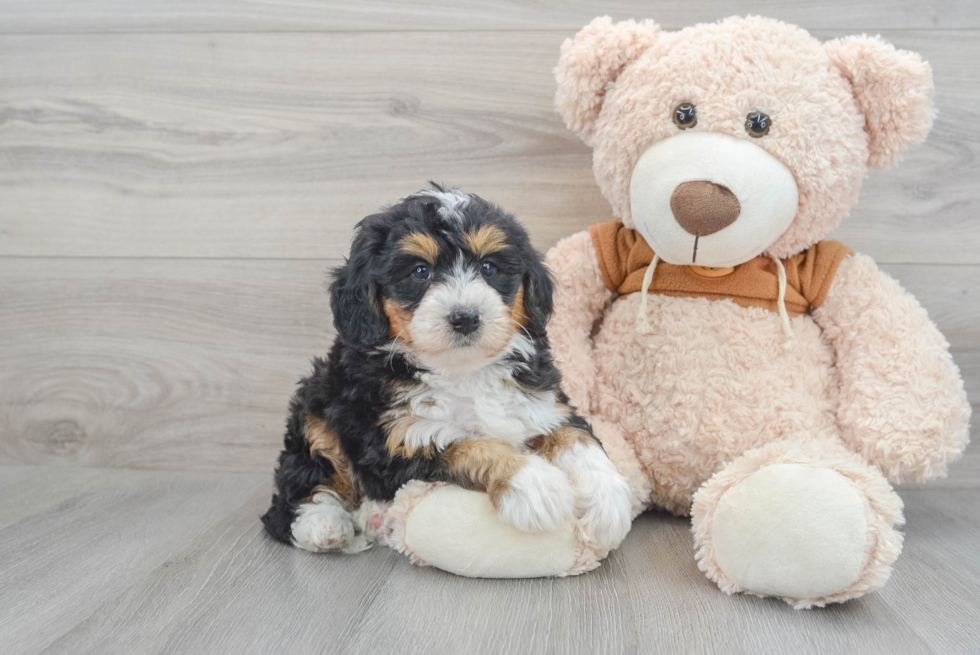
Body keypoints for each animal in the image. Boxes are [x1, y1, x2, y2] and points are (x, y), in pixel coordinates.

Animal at [260, 187, 632, 556]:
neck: (463, 370)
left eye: (488, 267)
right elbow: (470, 445)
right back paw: (323, 525)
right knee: (302, 482)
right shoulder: (397, 441)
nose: (465, 317)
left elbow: (576, 437)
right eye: (419, 271)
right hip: (318, 406)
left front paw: (608, 501)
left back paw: (374, 518)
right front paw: (534, 484)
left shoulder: (543, 403)